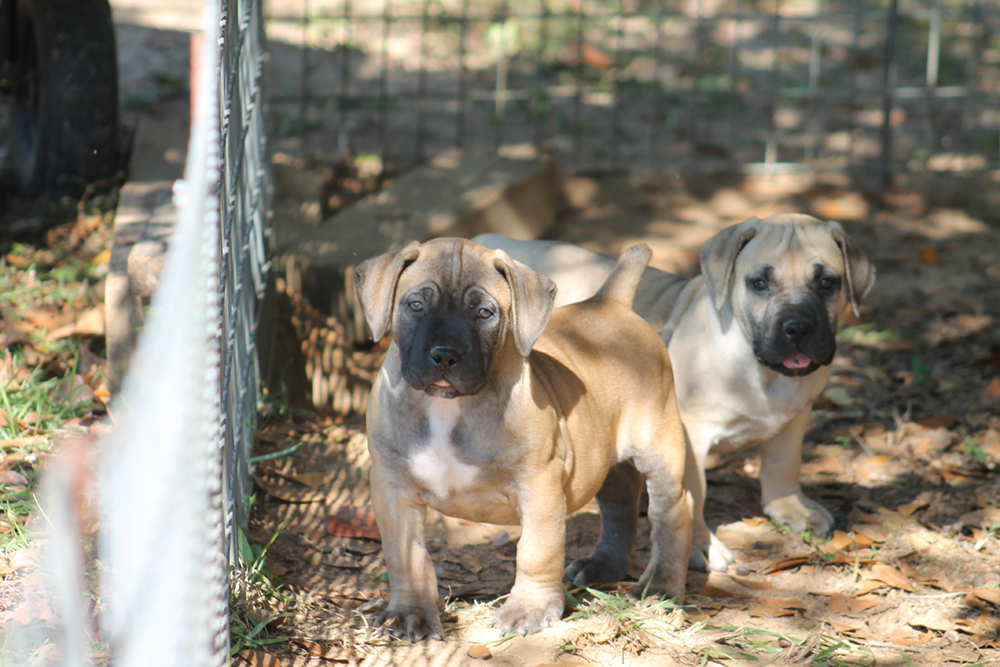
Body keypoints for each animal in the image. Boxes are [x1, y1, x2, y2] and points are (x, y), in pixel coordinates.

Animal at [356, 239, 692, 640]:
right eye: (416, 305)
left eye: (485, 313)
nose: (445, 356)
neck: (449, 407)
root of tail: (610, 303)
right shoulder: (393, 487)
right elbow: (406, 555)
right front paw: (409, 612)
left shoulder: (540, 486)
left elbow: (536, 551)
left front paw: (529, 609)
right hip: (605, 459)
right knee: (621, 506)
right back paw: (602, 566)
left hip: (659, 447)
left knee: (672, 512)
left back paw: (662, 586)